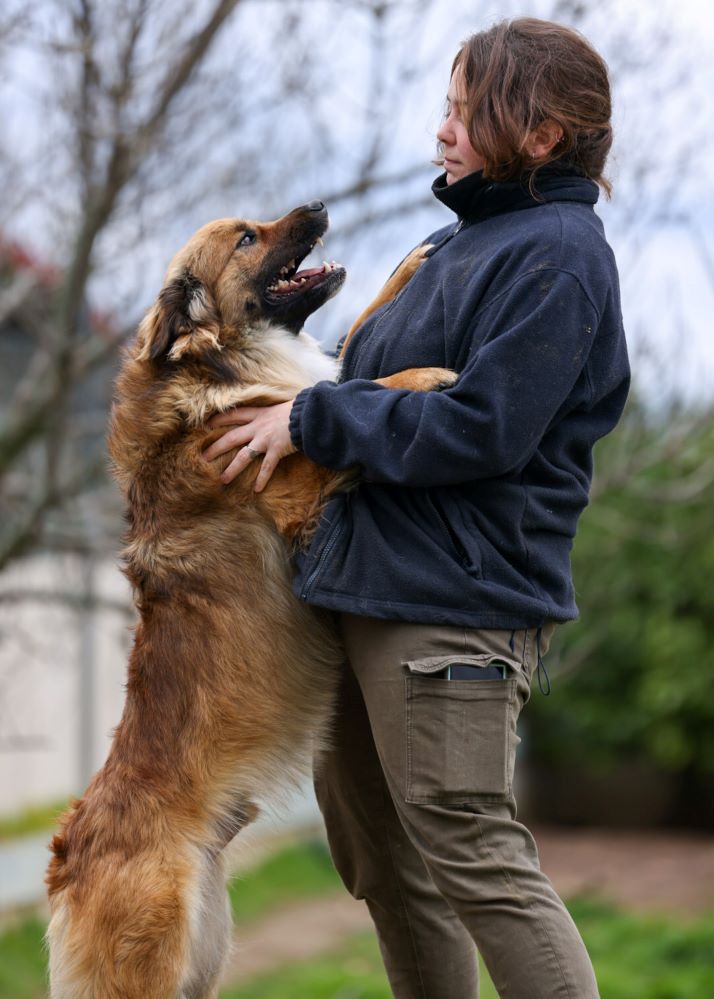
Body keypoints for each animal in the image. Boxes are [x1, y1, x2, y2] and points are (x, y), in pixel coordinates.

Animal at [45, 200, 451, 998]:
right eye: (245, 238)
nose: (319, 205)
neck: (214, 367)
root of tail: (68, 854)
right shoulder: (294, 480)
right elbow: (350, 397)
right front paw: (425, 374)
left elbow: (343, 363)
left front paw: (407, 268)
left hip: (202, 964)